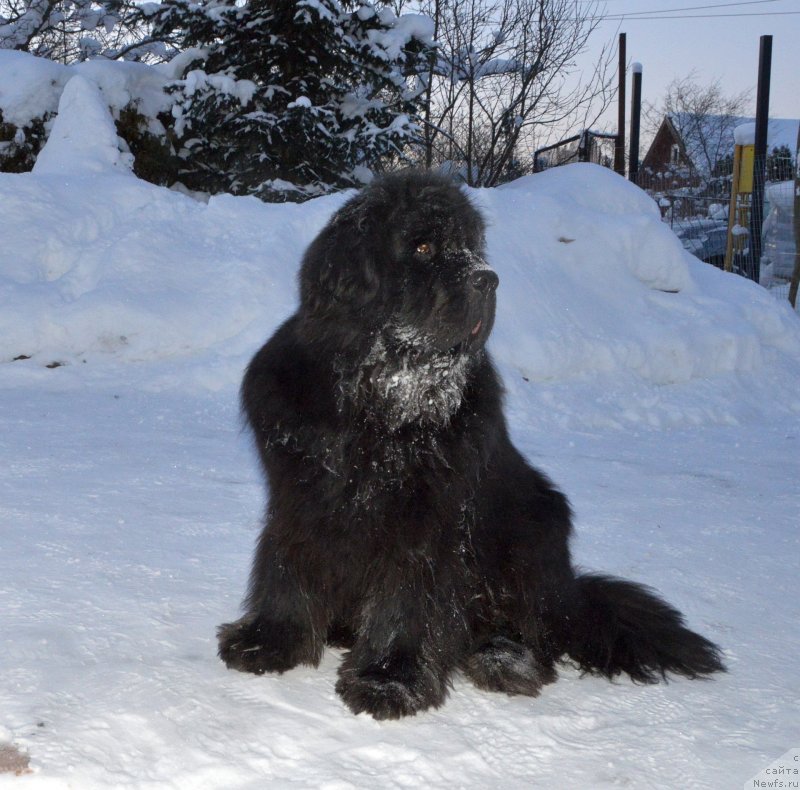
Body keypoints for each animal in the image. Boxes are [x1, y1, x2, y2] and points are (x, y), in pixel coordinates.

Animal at [217, 170, 724, 720]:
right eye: (422, 246)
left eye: (471, 248)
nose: (488, 279)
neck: (378, 401)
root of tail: (572, 594)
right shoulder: (300, 497)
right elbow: (286, 565)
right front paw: (268, 641)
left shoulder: (425, 520)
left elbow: (408, 596)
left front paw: (389, 679)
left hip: (536, 524)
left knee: (534, 629)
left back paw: (504, 659)